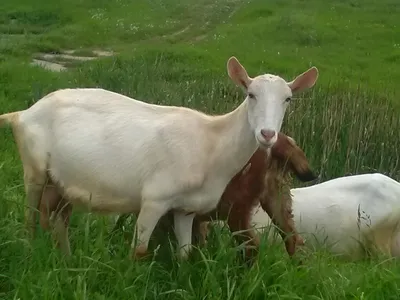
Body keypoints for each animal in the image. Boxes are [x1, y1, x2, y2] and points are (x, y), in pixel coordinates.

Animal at [0, 56, 318, 258]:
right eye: (250, 94)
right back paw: (31, 253)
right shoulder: (154, 199)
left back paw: (64, 260)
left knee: (56, 223)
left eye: (288, 99)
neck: (211, 142)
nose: (267, 134)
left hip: (63, 183)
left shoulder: (186, 210)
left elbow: (185, 255)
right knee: (30, 219)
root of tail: (22, 114)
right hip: (34, 168)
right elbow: (138, 252)